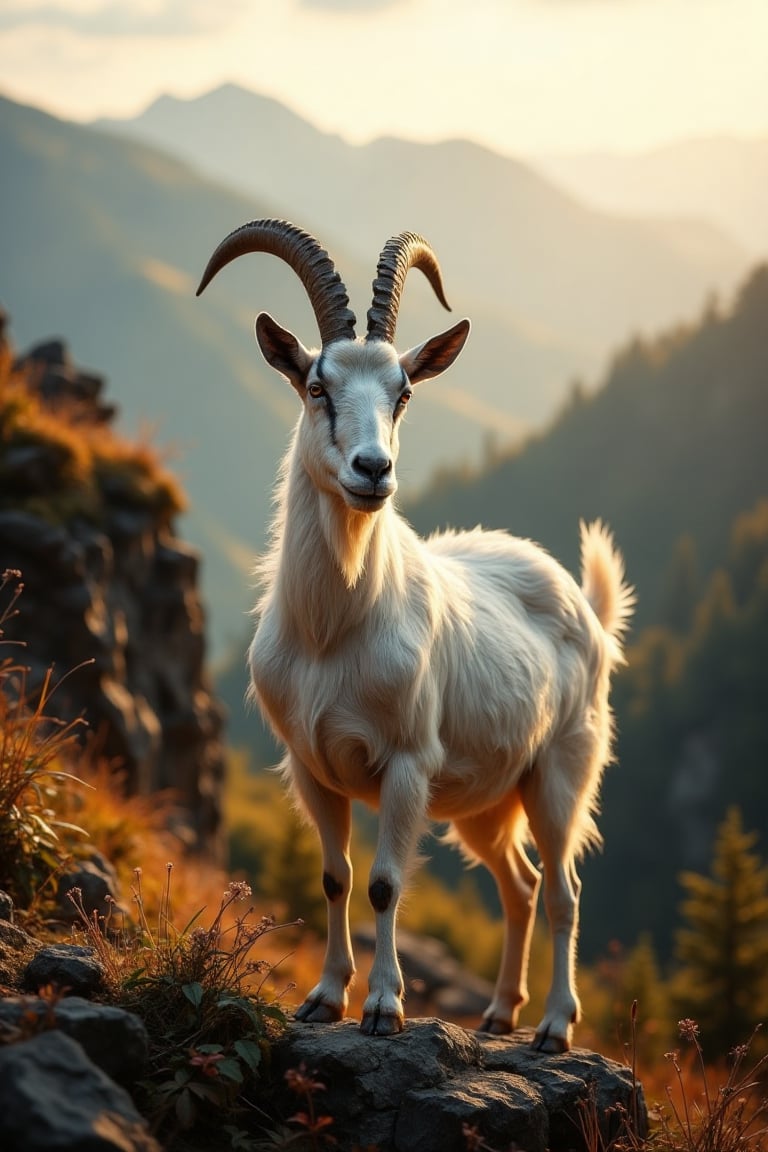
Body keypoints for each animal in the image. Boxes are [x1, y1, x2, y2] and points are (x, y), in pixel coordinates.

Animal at [195, 217, 635, 1055]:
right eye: (317, 386)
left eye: (402, 393)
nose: (373, 470)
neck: (333, 632)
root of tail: (587, 606)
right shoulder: (309, 766)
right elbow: (334, 877)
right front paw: (323, 997)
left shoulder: (406, 761)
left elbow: (385, 882)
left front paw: (382, 1008)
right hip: (486, 802)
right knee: (521, 884)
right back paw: (498, 1014)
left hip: (562, 770)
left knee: (564, 888)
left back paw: (553, 1026)